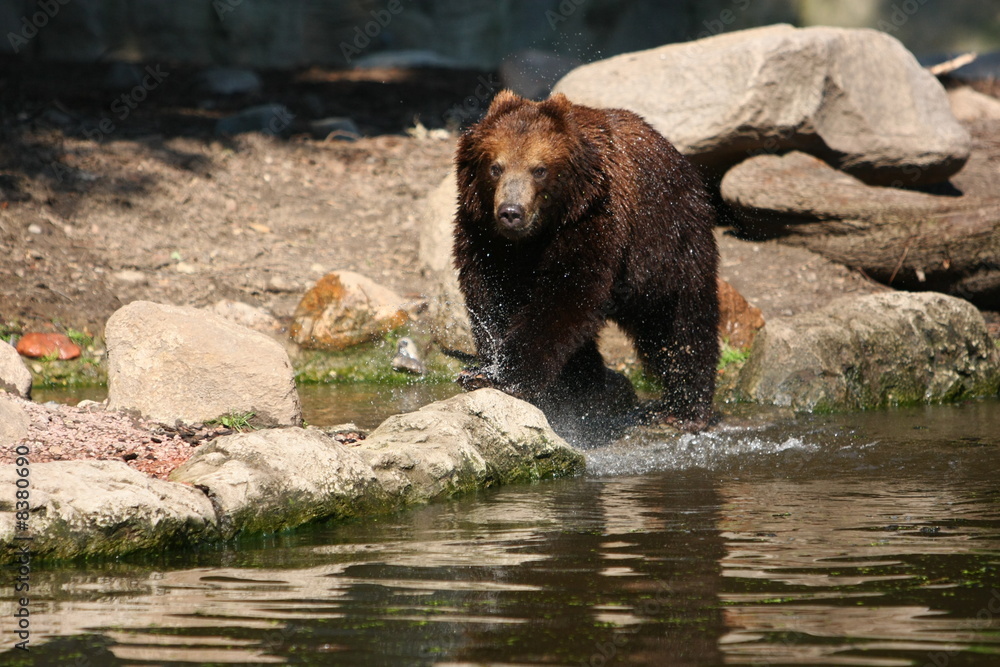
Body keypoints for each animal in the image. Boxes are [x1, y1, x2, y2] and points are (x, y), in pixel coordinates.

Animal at [452, 90, 719, 434]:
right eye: (495, 167)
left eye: (539, 169)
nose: (511, 212)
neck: (533, 238)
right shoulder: (483, 235)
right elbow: (491, 296)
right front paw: (482, 369)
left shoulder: (591, 221)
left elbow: (565, 297)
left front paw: (507, 377)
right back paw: (588, 384)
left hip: (667, 242)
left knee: (678, 325)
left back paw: (684, 409)